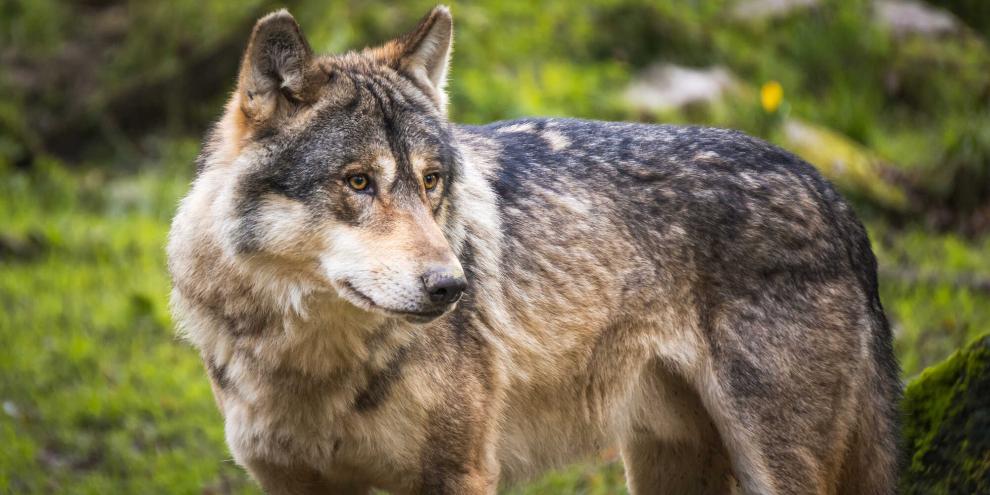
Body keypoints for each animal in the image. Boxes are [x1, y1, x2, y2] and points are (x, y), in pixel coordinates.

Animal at [167, 6, 901, 494]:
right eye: (358, 182)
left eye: (430, 181)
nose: (452, 287)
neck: (310, 359)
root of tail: (833, 194)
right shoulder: (291, 480)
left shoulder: (460, 473)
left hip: (772, 463)